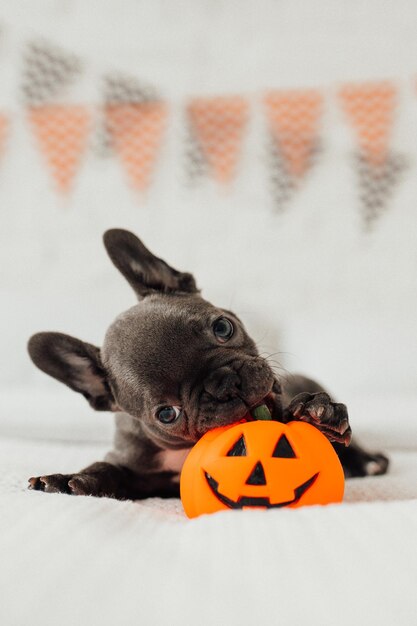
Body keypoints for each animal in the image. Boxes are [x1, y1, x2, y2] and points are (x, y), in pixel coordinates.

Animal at [27, 227, 388, 500]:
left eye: (223, 327)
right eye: (167, 414)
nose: (226, 383)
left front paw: (318, 413)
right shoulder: (134, 468)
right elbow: (106, 469)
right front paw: (66, 480)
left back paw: (367, 460)